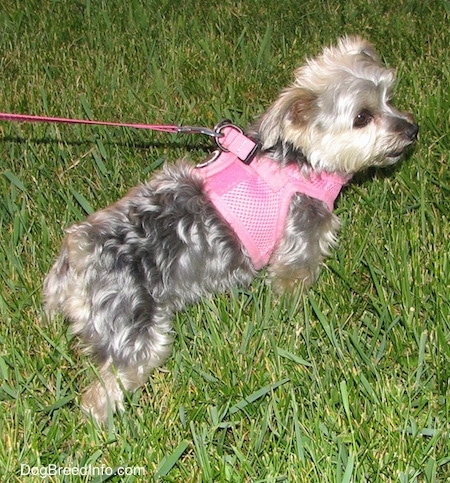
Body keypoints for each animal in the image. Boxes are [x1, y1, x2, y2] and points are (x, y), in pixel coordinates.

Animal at [44, 36, 418, 424]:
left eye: (389, 97)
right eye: (362, 117)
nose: (411, 129)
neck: (298, 158)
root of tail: (79, 255)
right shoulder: (299, 244)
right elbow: (291, 289)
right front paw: (295, 325)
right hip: (132, 325)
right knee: (104, 390)